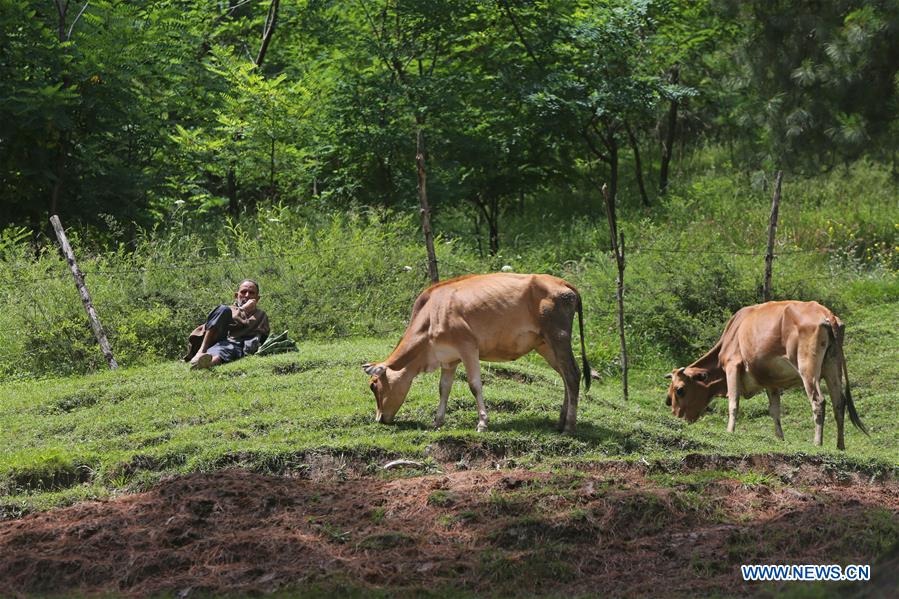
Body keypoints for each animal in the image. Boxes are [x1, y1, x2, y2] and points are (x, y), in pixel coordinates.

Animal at [362, 274, 596, 434]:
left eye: (374, 385)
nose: (379, 418)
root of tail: (563, 283)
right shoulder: (449, 359)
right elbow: (443, 388)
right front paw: (437, 421)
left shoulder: (468, 348)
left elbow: (474, 385)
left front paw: (482, 422)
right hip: (545, 345)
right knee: (565, 377)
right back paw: (559, 422)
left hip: (558, 337)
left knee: (573, 375)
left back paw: (569, 427)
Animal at [664, 300, 868, 450]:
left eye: (680, 390)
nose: (676, 416)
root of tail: (826, 314)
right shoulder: (772, 382)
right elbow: (774, 411)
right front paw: (780, 439)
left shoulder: (732, 366)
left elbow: (733, 403)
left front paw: (730, 431)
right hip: (833, 367)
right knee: (839, 403)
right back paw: (840, 446)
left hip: (807, 368)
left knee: (819, 401)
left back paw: (817, 443)